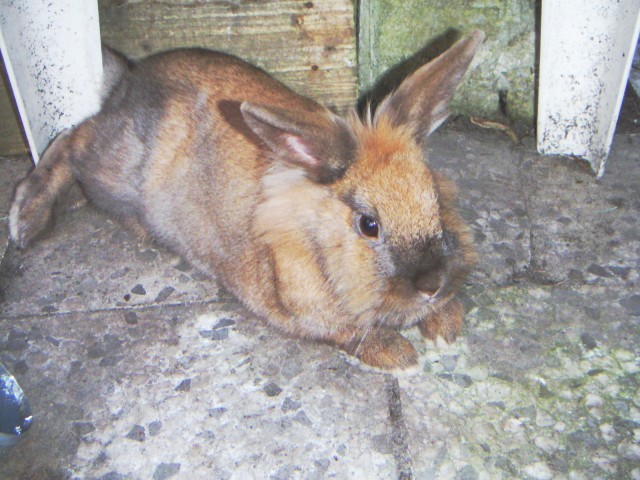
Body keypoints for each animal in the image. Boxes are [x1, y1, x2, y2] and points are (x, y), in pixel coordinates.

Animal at [9, 31, 484, 369]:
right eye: (369, 224)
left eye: (434, 198)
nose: (432, 284)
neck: (319, 241)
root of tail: (126, 79)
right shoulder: (300, 312)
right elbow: (349, 334)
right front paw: (401, 356)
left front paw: (445, 326)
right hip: (111, 168)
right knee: (70, 139)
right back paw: (25, 221)